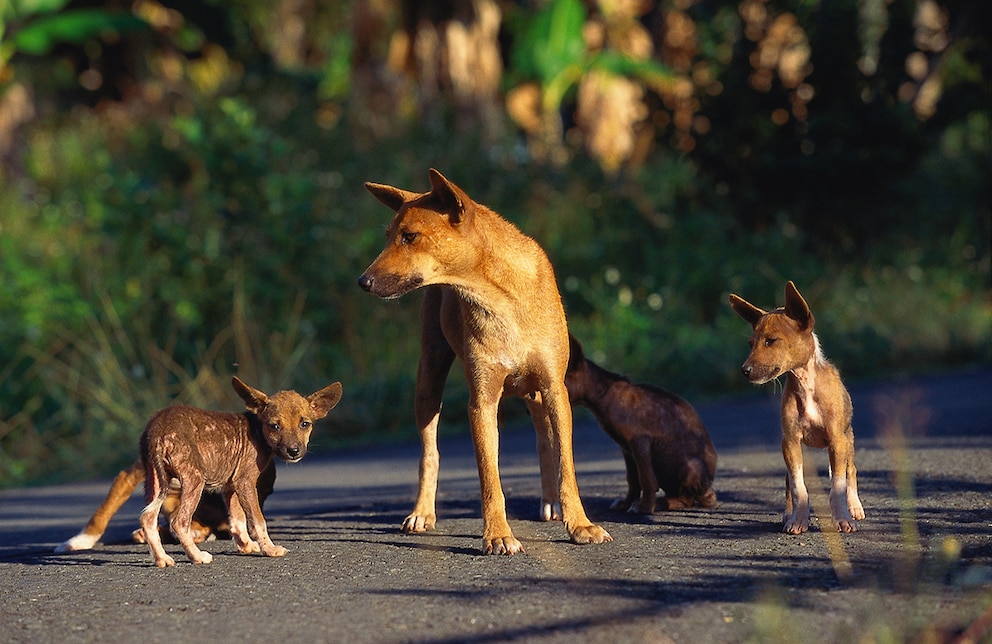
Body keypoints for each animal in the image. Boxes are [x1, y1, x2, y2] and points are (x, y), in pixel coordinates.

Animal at [140, 374, 340, 568]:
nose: (293, 451)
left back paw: (162, 559)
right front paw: (270, 549)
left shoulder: (231, 485)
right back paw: (197, 556)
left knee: (148, 520)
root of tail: (157, 429)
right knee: (179, 522)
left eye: (305, 424)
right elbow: (258, 521)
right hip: (193, 479)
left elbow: (237, 520)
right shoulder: (245, 481)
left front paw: (246, 546)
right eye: (275, 426)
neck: (258, 431)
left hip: (155, 479)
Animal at [360, 167, 612, 552]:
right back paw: (422, 513)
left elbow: (565, 464)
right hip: (428, 382)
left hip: (536, 394)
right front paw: (497, 534)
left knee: (544, 442)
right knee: (429, 453)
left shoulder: (556, 390)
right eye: (388, 236)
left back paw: (550, 503)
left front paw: (580, 525)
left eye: (410, 236)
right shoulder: (481, 401)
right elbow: (489, 477)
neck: (499, 296)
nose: (363, 281)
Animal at [728, 282, 860, 532]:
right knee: (789, 480)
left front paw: (842, 518)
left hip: (847, 441)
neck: (805, 385)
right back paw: (788, 513)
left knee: (851, 471)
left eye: (770, 340)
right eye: (751, 343)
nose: (744, 370)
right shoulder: (789, 442)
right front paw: (798, 519)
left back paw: (855, 507)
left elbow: (838, 486)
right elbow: (799, 487)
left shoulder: (837, 440)